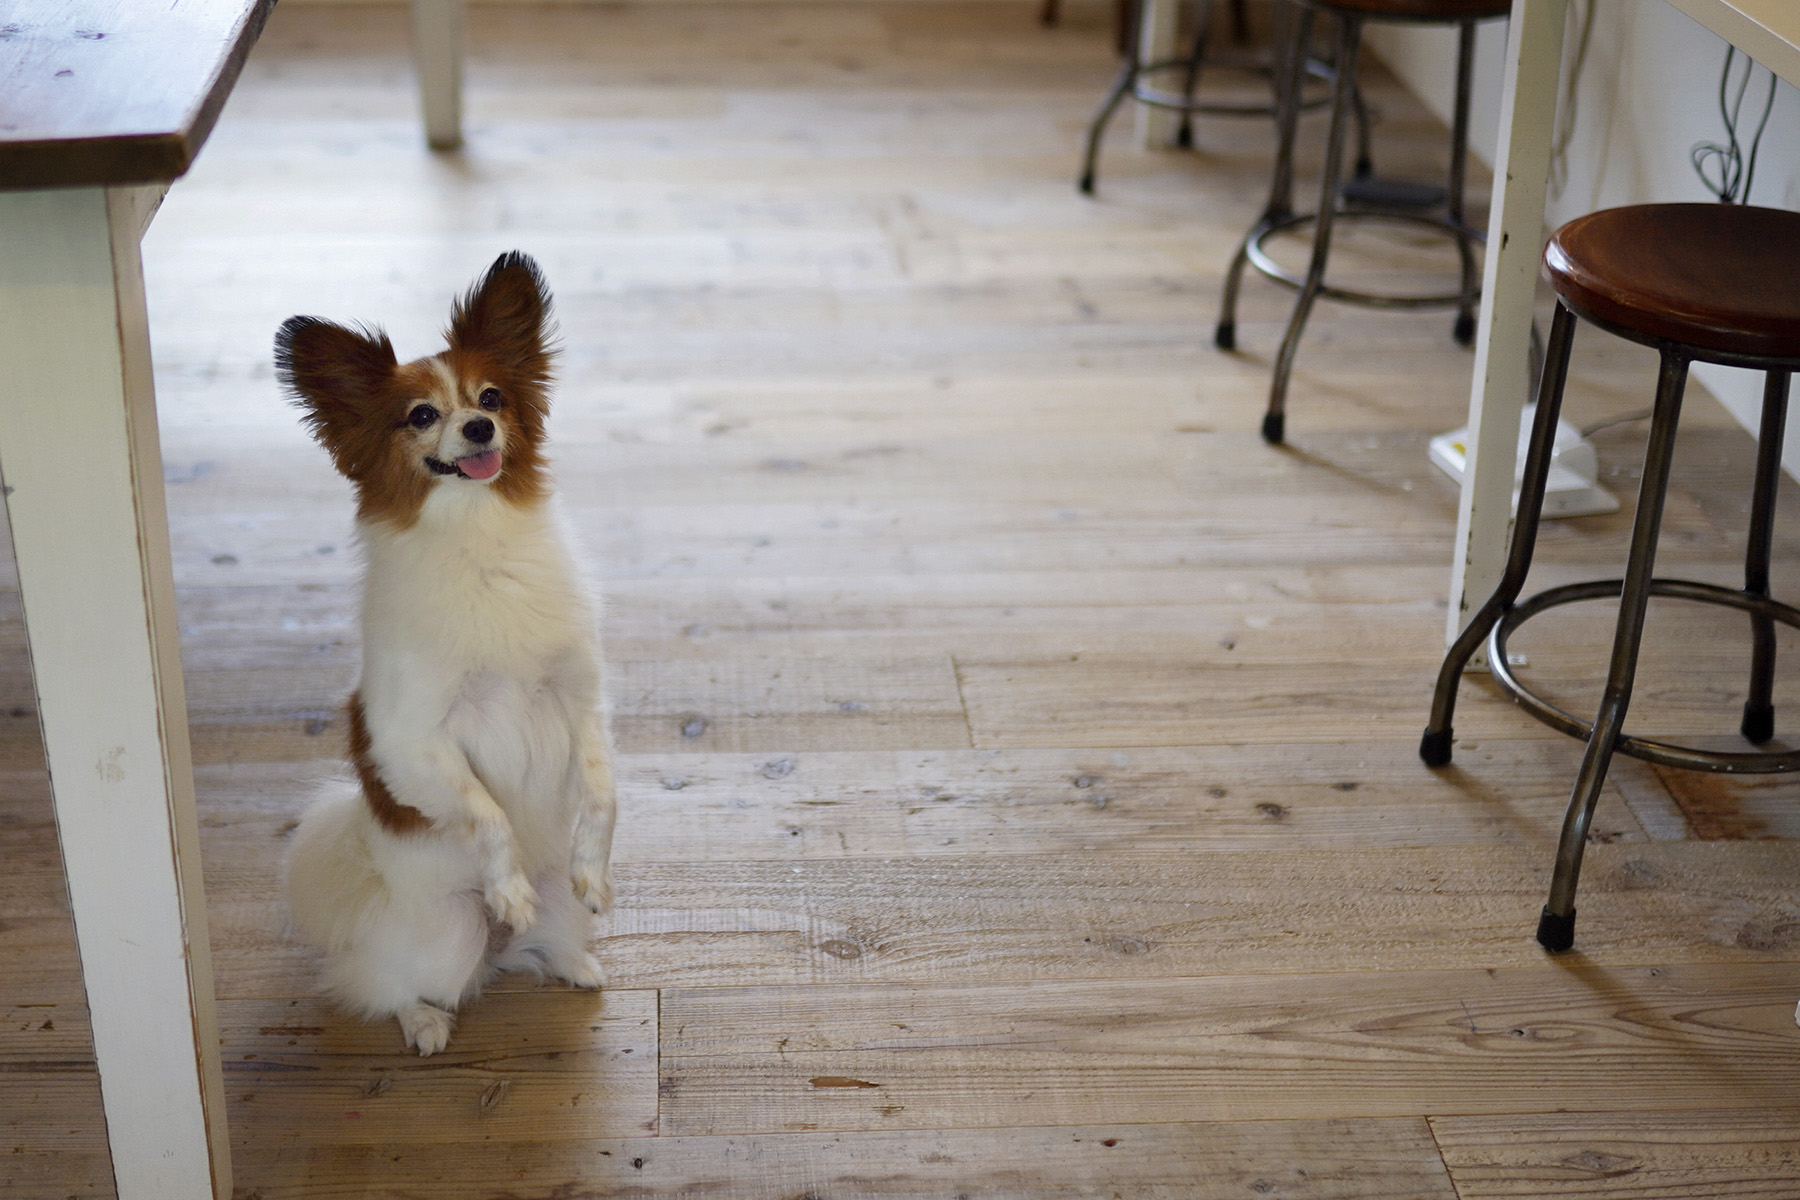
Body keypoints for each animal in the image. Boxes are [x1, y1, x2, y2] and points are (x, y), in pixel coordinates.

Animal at [275, 251, 619, 1050]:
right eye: (422, 416)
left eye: (491, 395)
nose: (480, 425)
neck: (478, 537)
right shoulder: (414, 743)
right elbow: (486, 813)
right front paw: (509, 887)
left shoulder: (579, 698)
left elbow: (602, 791)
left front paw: (594, 868)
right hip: (451, 933)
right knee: (381, 983)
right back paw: (425, 1016)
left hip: (546, 914)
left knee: (537, 942)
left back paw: (569, 960)